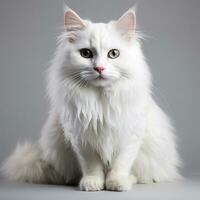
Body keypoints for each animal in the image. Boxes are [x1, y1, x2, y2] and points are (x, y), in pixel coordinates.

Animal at [1, 5, 182, 191]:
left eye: (113, 54)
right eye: (86, 53)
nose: (99, 68)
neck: (100, 101)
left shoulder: (129, 136)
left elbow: (120, 164)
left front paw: (116, 183)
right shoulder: (81, 138)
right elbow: (92, 166)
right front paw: (92, 183)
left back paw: (130, 179)